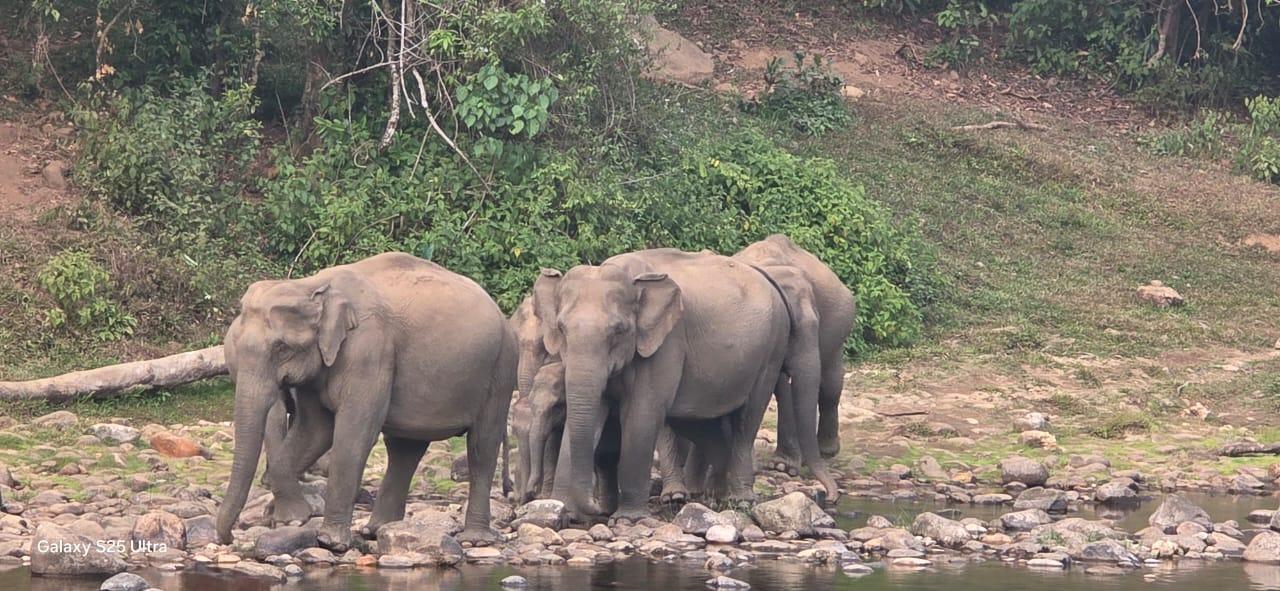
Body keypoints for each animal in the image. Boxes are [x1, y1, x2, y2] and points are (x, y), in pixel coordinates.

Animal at [214, 252, 517, 550]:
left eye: (281, 348)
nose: (228, 538)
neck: (313, 285)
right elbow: (314, 431)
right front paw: (294, 520)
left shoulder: (370, 351)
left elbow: (353, 435)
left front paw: (330, 541)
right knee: (405, 449)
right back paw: (377, 531)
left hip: (500, 369)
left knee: (481, 446)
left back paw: (475, 539)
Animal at [532, 248, 836, 522]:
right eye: (561, 329)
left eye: (618, 330)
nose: (596, 508)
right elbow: (590, 412)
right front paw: (561, 512)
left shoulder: (666, 344)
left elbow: (643, 413)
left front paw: (627, 519)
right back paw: (711, 496)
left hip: (770, 351)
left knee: (747, 419)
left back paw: (738, 500)